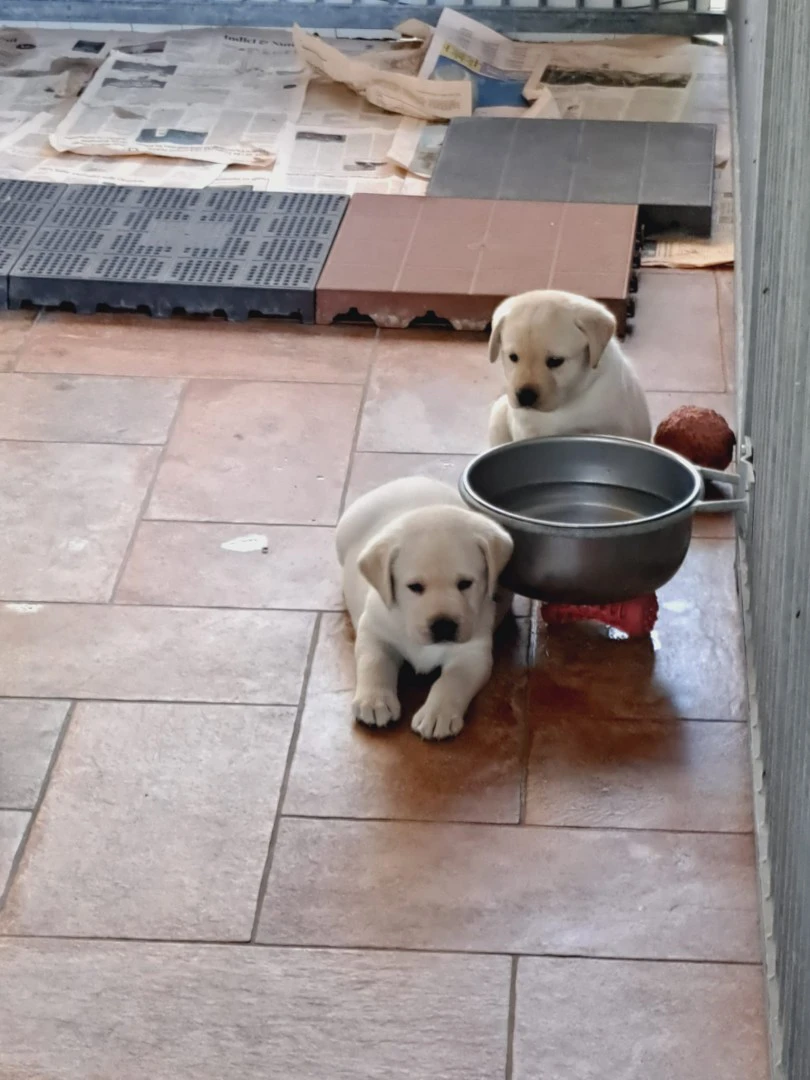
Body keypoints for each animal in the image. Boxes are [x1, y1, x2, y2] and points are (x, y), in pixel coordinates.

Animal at [336, 481, 514, 743]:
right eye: (415, 587)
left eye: (465, 583)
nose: (444, 625)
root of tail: (408, 480)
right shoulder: (375, 632)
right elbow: (373, 661)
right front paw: (374, 700)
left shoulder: (472, 654)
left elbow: (452, 681)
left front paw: (437, 714)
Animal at [488, 287, 652, 447]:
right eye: (513, 357)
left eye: (555, 361)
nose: (525, 395)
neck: (566, 403)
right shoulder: (525, 430)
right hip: (498, 412)